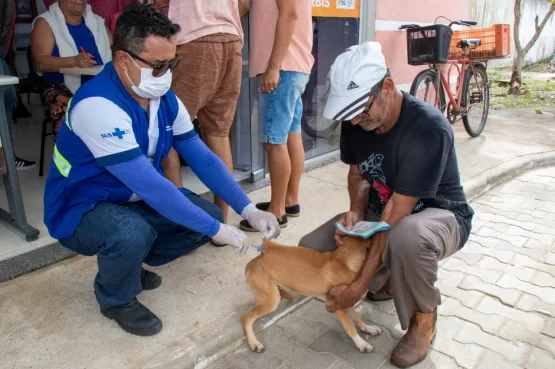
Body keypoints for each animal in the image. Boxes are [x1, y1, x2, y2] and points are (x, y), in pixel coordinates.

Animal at [241, 237, 384, 352]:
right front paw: (361, 344)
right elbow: (350, 325)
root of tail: (251, 263)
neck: (342, 262)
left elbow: (357, 316)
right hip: (272, 301)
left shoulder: (347, 298)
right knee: (246, 317)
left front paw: (368, 328)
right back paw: (254, 343)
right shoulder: (335, 305)